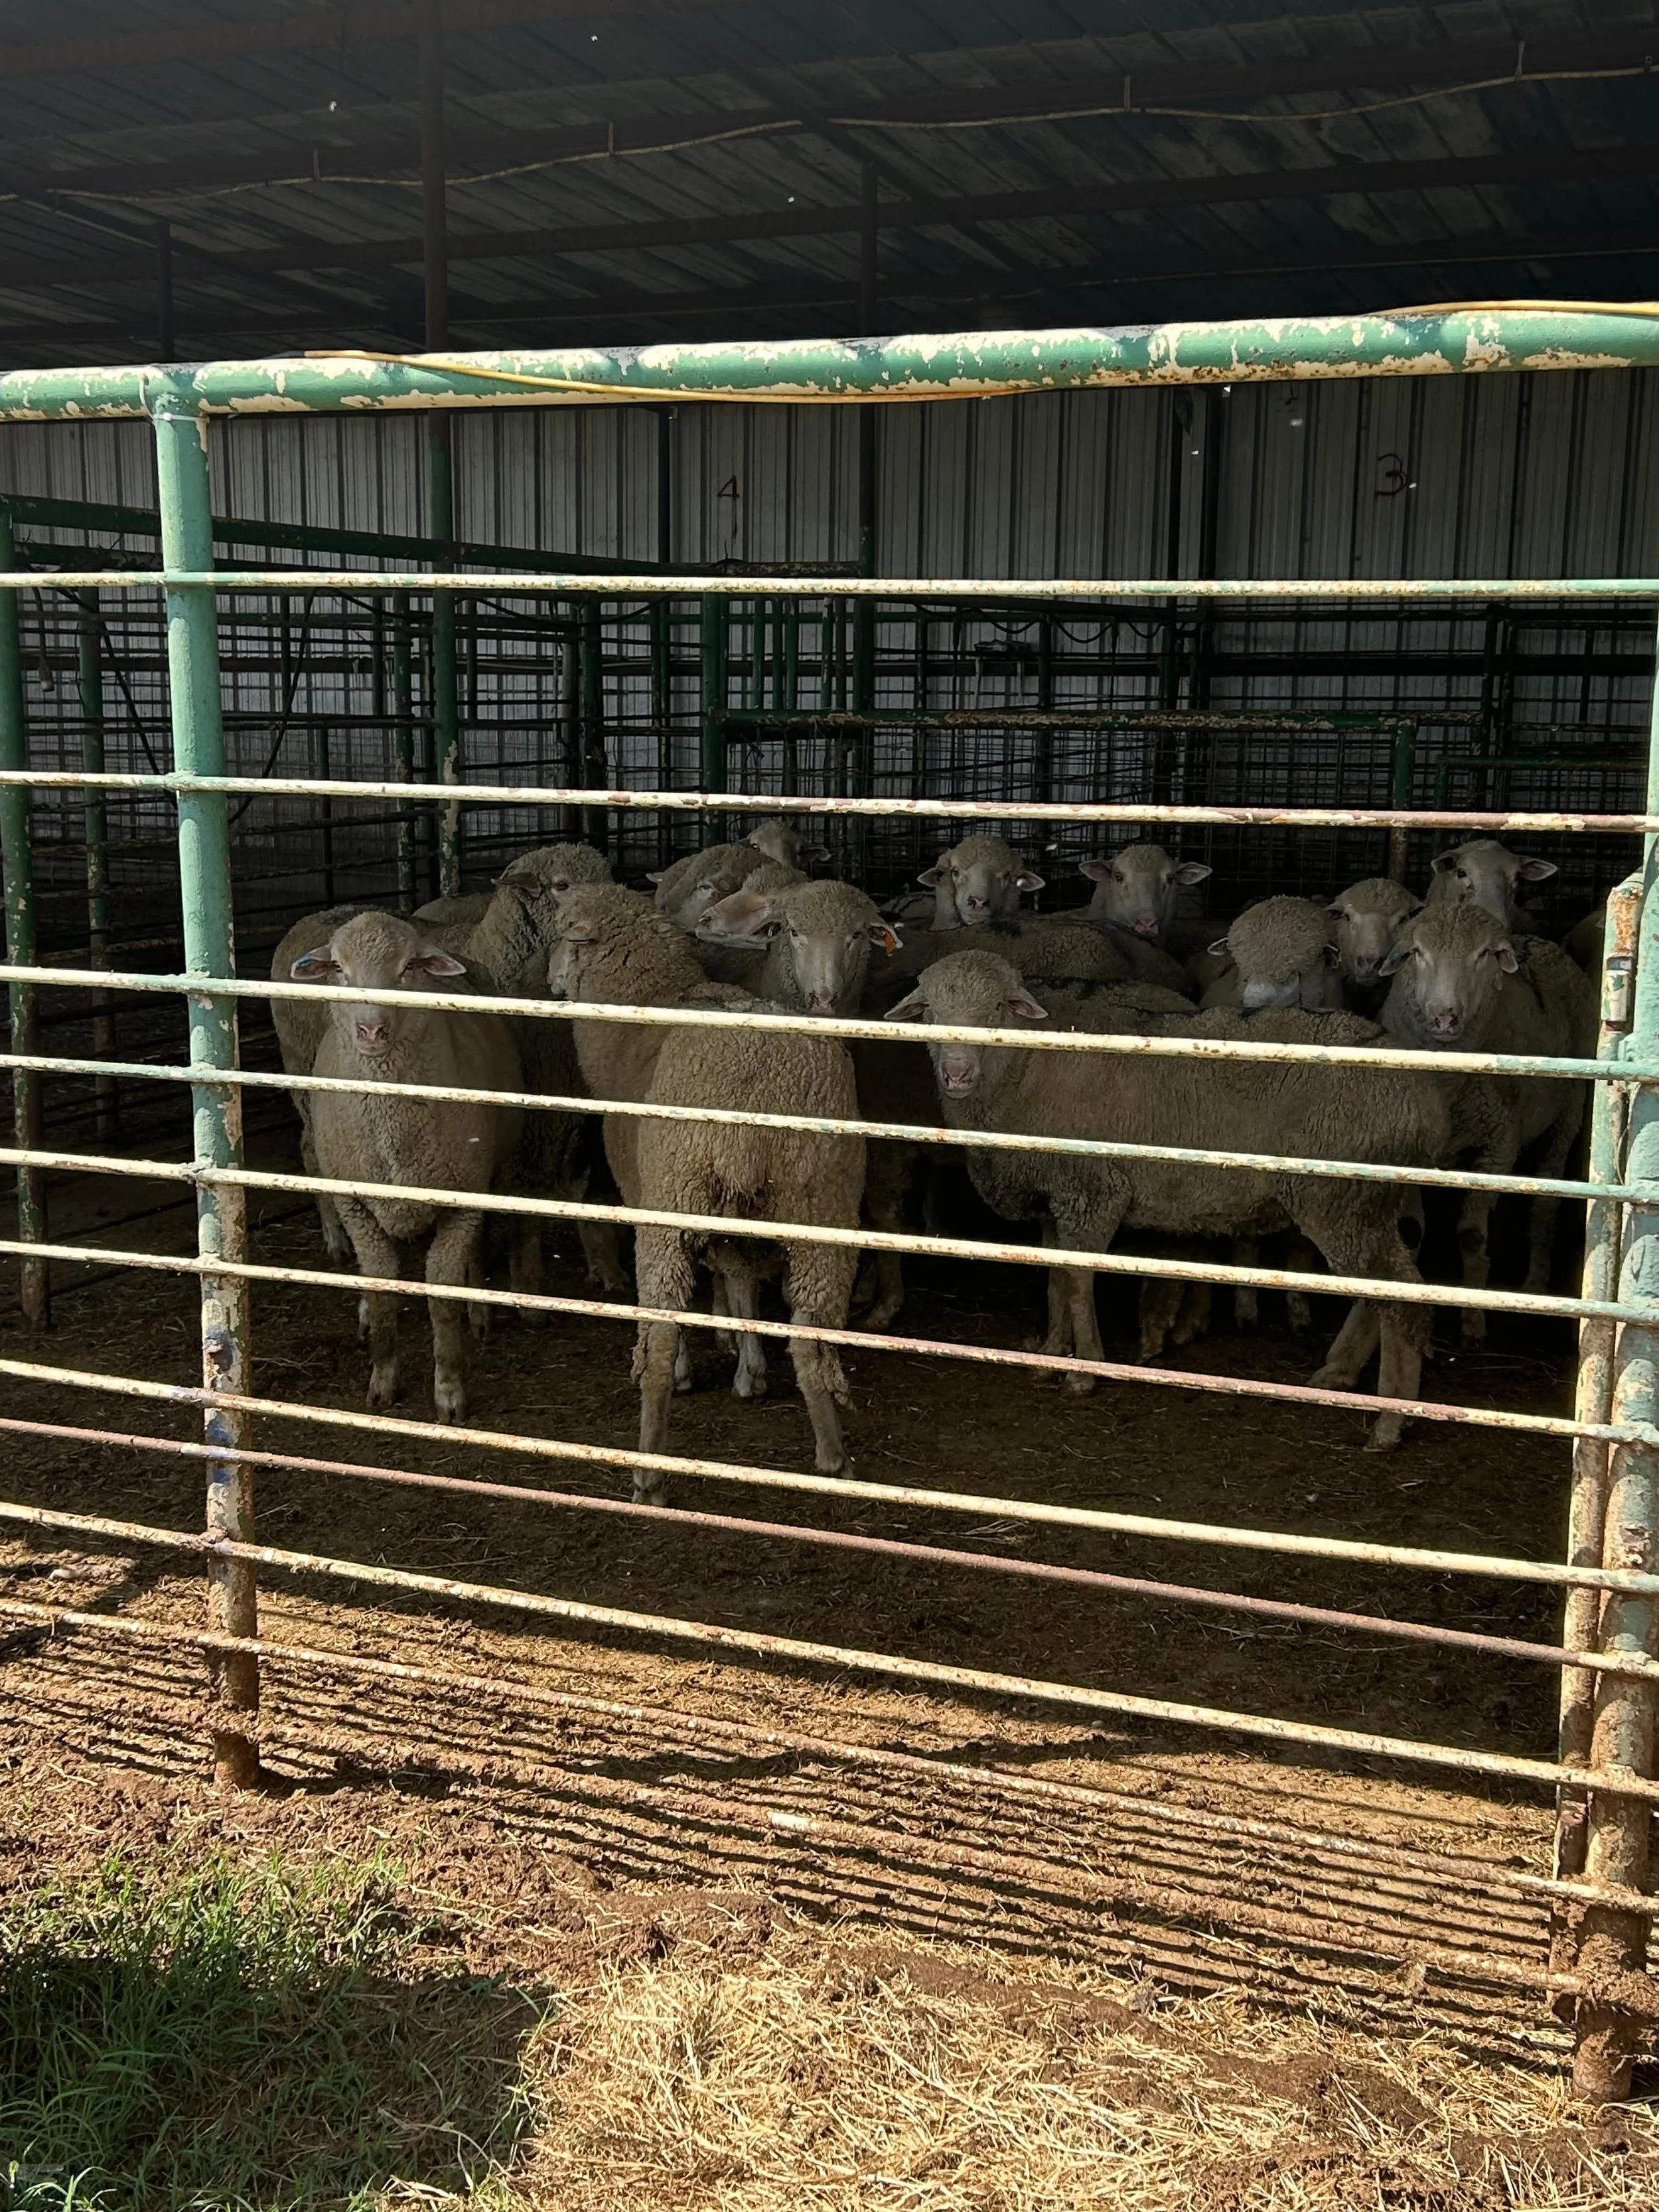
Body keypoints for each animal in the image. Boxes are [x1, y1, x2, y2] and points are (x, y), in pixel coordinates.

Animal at [291, 911, 524, 1421]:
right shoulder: (356, 1202)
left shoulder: (463, 1197)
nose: (372, 1030)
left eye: (410, 967)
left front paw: (450, 1390)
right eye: (339, 968)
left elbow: (443, 1291)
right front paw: (383, 1380)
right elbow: (380, 1283)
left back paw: (479, 1311)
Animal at [549, 882, 865, 1494]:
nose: (550, 979)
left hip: (676, 1199)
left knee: (661, 1332)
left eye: (562, 930)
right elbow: (741, 1288)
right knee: (810, 1332)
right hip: (820, 1203)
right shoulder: (737, 1223)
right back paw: (833, 1455)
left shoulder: (646, 1193)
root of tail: (760, 1087)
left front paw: (703, 1371)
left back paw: (649, 1469)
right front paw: (751, 1371)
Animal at [886, 951, 1450, 1449]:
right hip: (1366, 1202)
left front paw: (1085, 1369)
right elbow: (1055, 1280)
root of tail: (1424, 1097)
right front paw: (1052, 1353)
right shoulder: (1054, 1198)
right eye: (931, 1008)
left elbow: (1079, 1281)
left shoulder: (1092, 1191)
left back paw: (1389, 1423)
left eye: (999, 1007)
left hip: (1341, 1198)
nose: (957, 1074)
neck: (1022, 1065)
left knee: (1402, 1299)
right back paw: (1339, 1374)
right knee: (1380, 1292)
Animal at [1378, 901, 1594, 1331]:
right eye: (1417, 953)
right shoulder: (1407, 1150)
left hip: (1568, 1115)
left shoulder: (1498, 1147)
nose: (1445, 1016)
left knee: (1544, 1207)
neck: (1449, 1087)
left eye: (1484, 955)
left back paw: (1534, 1284)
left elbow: (1472, 1237)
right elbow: (1411, 1231)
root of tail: (1535, 940)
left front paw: (1473, 1320)